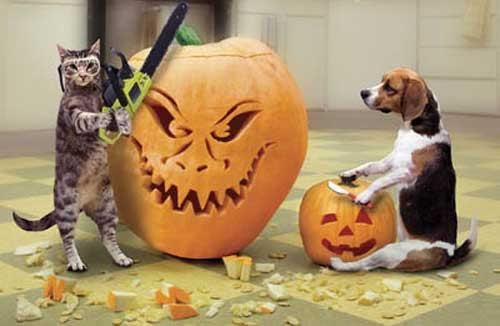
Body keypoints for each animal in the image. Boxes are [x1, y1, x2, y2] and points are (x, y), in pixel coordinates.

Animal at [13, 39, 135, 272]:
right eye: (72, 66)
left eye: (89, 64)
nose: (83, 74)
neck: (86, 92)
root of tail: (84, 204)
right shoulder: (75, 115)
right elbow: (91, 117)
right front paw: (103, 117)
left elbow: (118, 113)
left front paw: (123, 121)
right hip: (67, 208)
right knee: (67, 239)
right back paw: (75, 262)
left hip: (108, 208)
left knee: (108, 237)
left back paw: (120, 257)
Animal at [332, 67, 476, 272]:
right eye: (381, 80)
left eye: (390, 88)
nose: (362, 93)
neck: (418, 128)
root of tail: (448, 254)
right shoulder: (390, 162)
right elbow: (370, 165)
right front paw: (351, 173)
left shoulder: (406, 172)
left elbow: (380, 180)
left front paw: (364, 195)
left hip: (391, 251)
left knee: (366, 264)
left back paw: (339, 263)